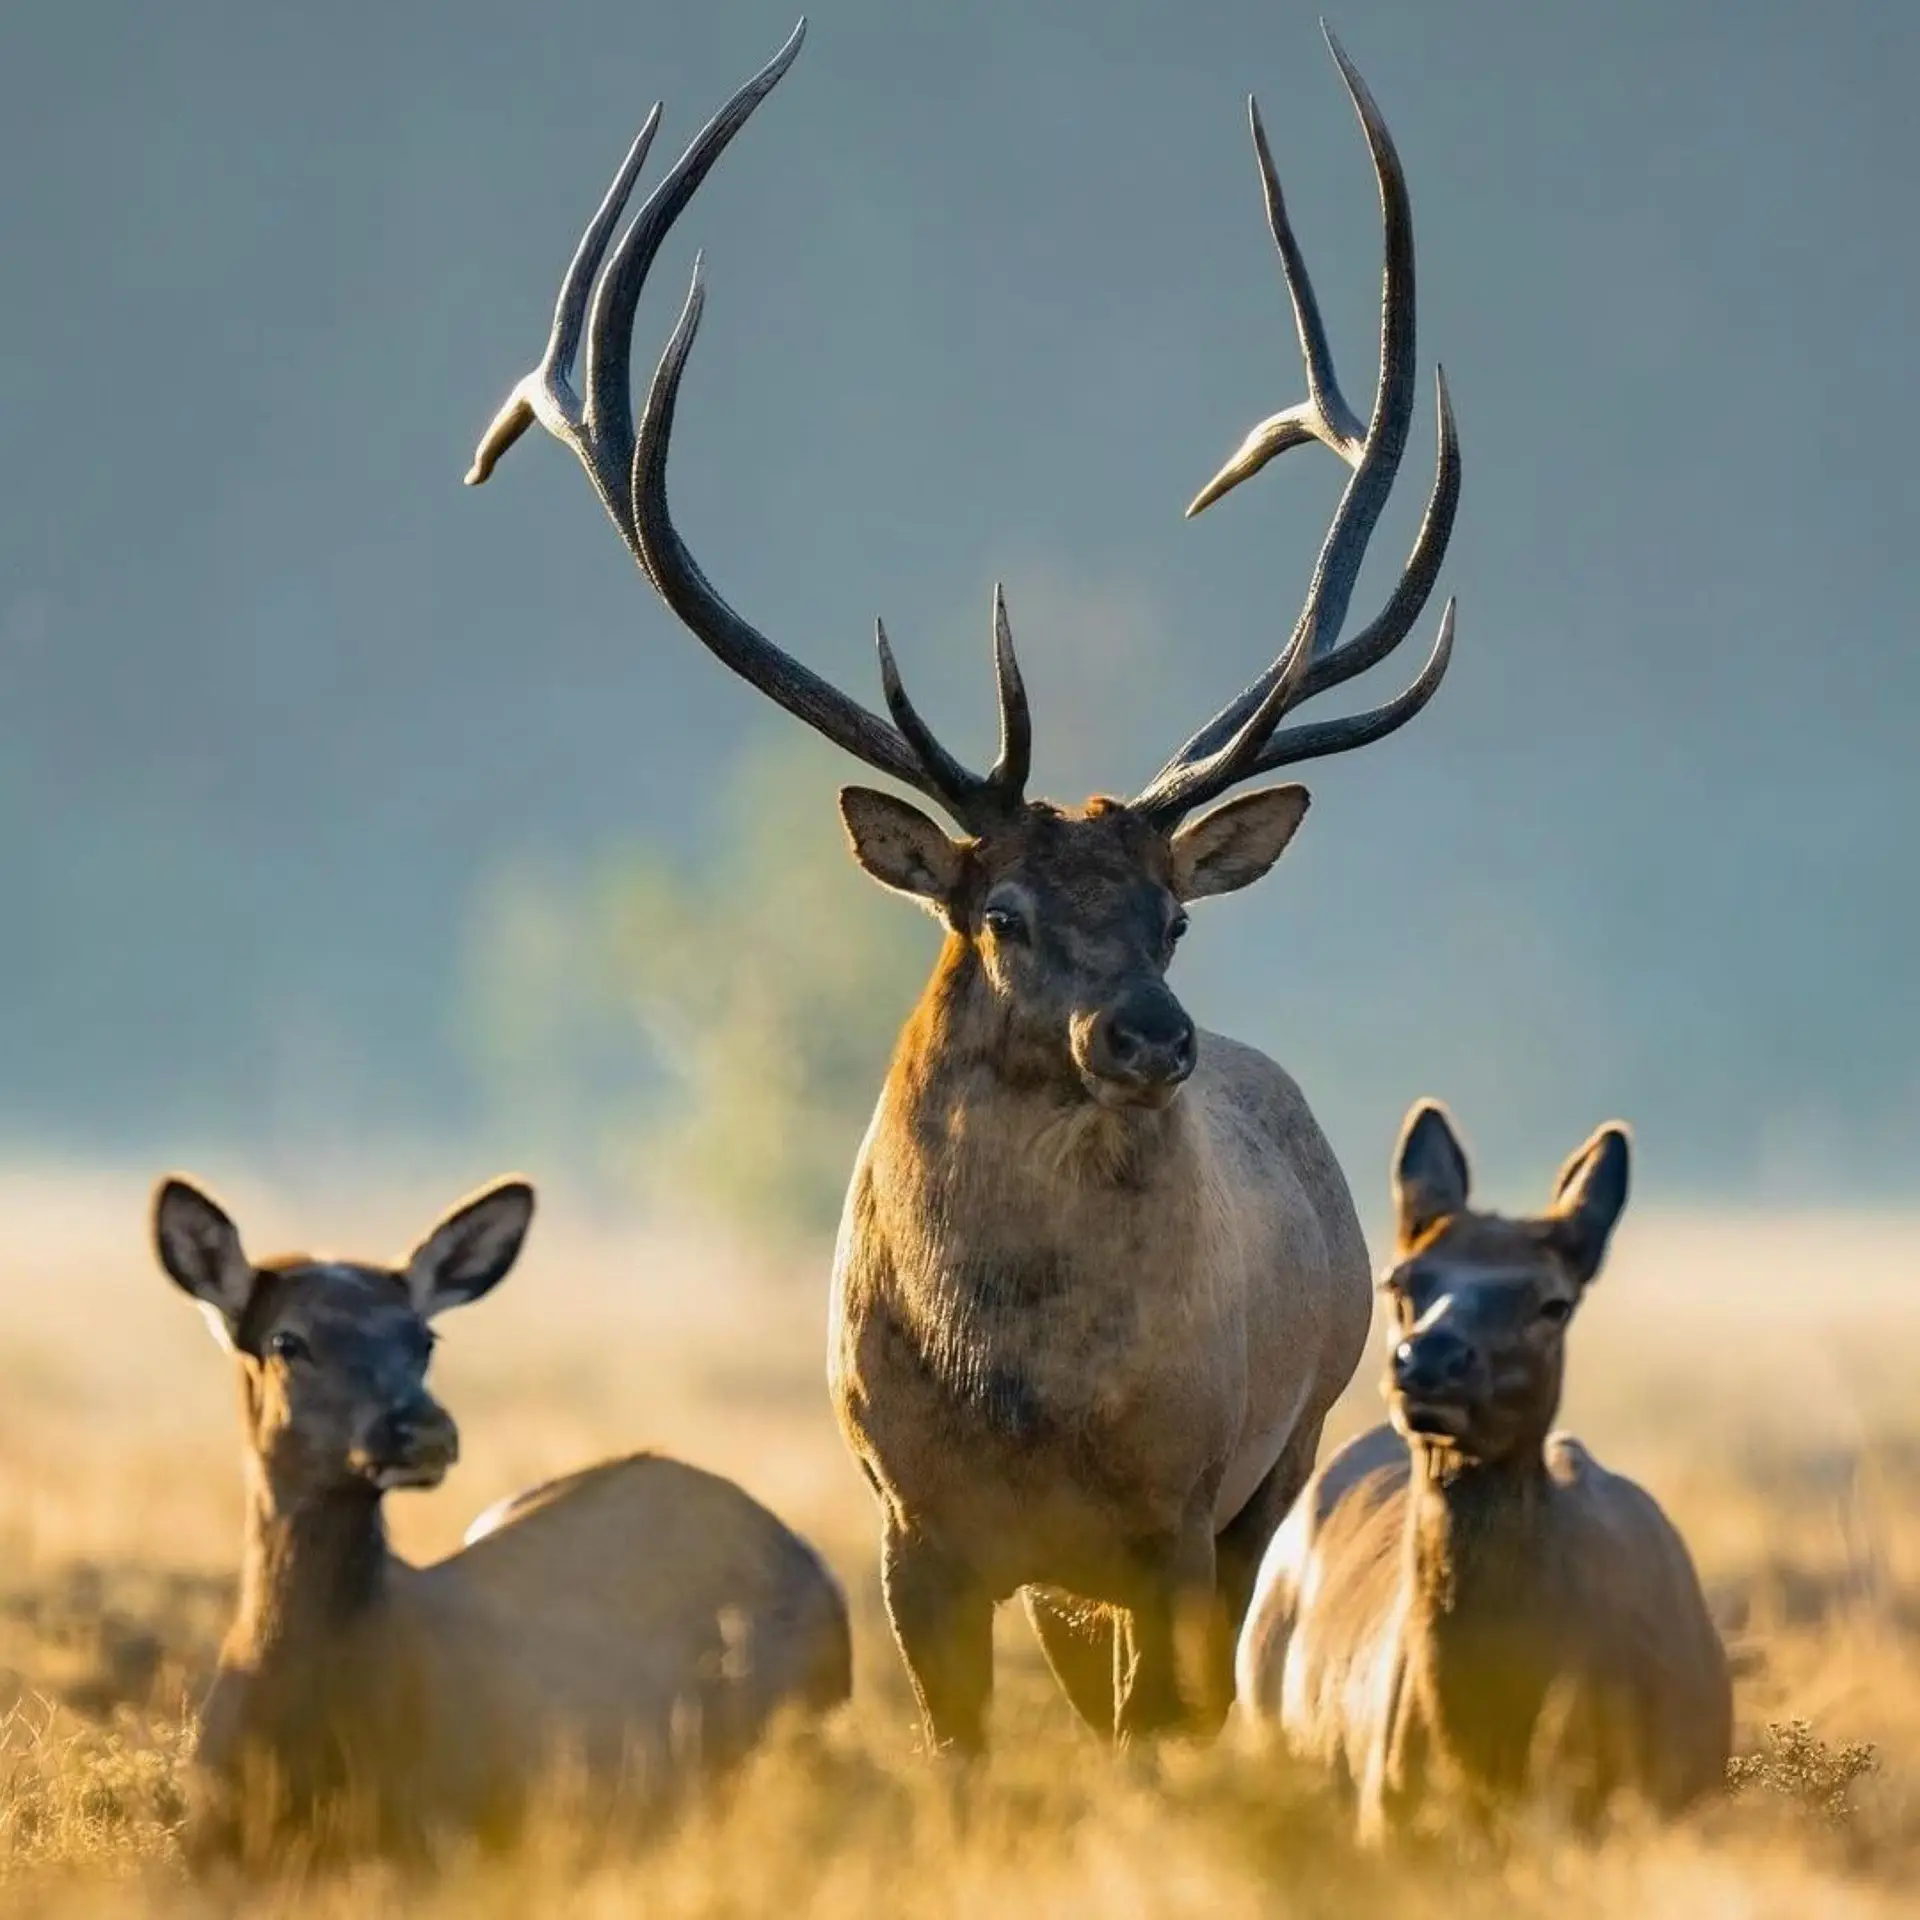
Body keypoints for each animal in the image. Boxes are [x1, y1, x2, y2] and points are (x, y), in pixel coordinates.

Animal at [467, 17, 1460, 1750]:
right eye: (1003, 915)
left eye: (1175, 917)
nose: (1151, 1039)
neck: (1021, 1403)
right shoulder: (910, 1529)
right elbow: (960, 1750)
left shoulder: (1176, 1519)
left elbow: (1161, 1731)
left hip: (1277, 1461)